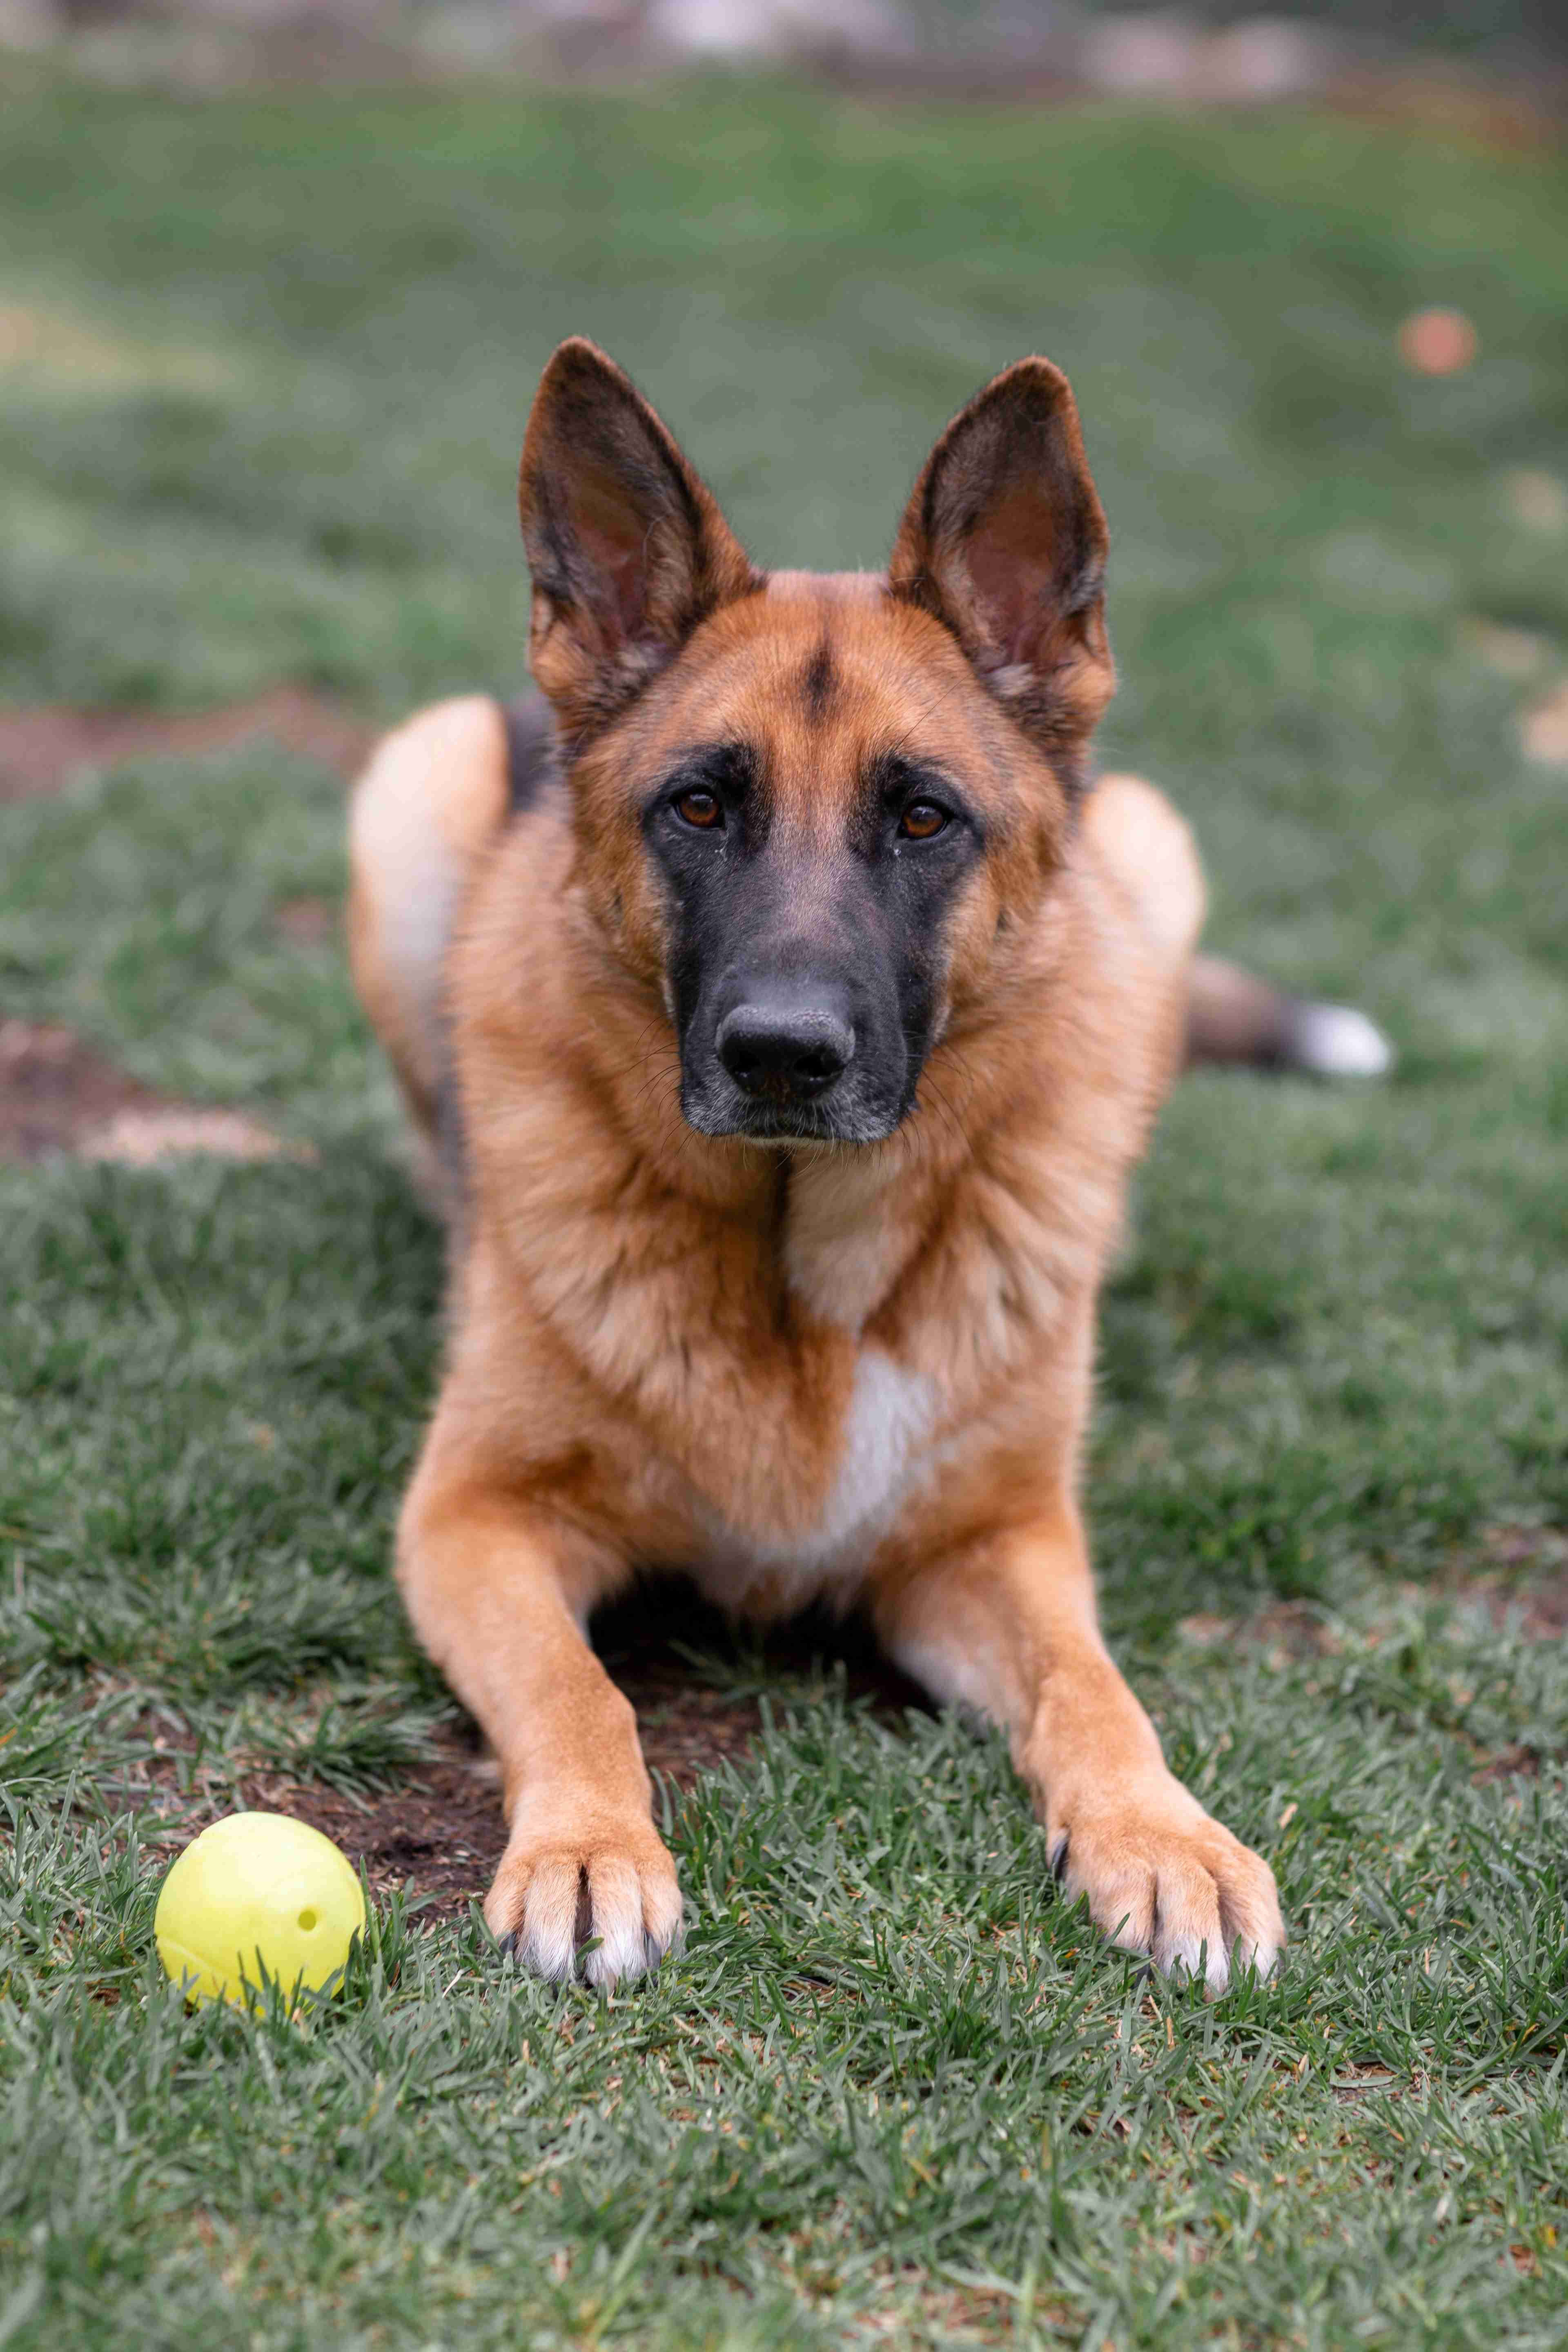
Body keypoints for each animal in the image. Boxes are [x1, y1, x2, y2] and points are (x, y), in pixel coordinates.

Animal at [350, 341, 1392, 1994]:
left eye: (921, 818)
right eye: (697, 806)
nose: (781, 1054)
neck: (807, 1271)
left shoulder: (996, 1544)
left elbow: (1097, 1686)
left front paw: (1163, 1837)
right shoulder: (473, 1517)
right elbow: (583, 1691)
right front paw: (587, 1848)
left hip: (1150, 859)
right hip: (408, 793)